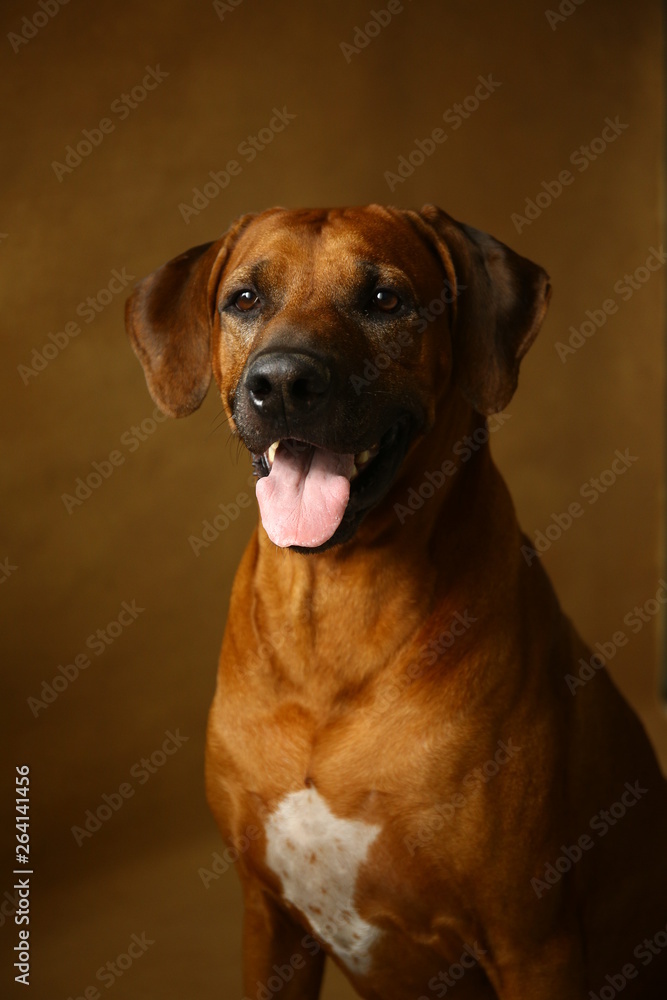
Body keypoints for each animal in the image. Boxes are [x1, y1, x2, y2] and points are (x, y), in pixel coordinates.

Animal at [126, 205, 667, 1000]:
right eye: (245, 299)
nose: (280, 383)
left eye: (385, 300)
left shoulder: (531, 940)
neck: (335, 606)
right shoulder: (269, 923)